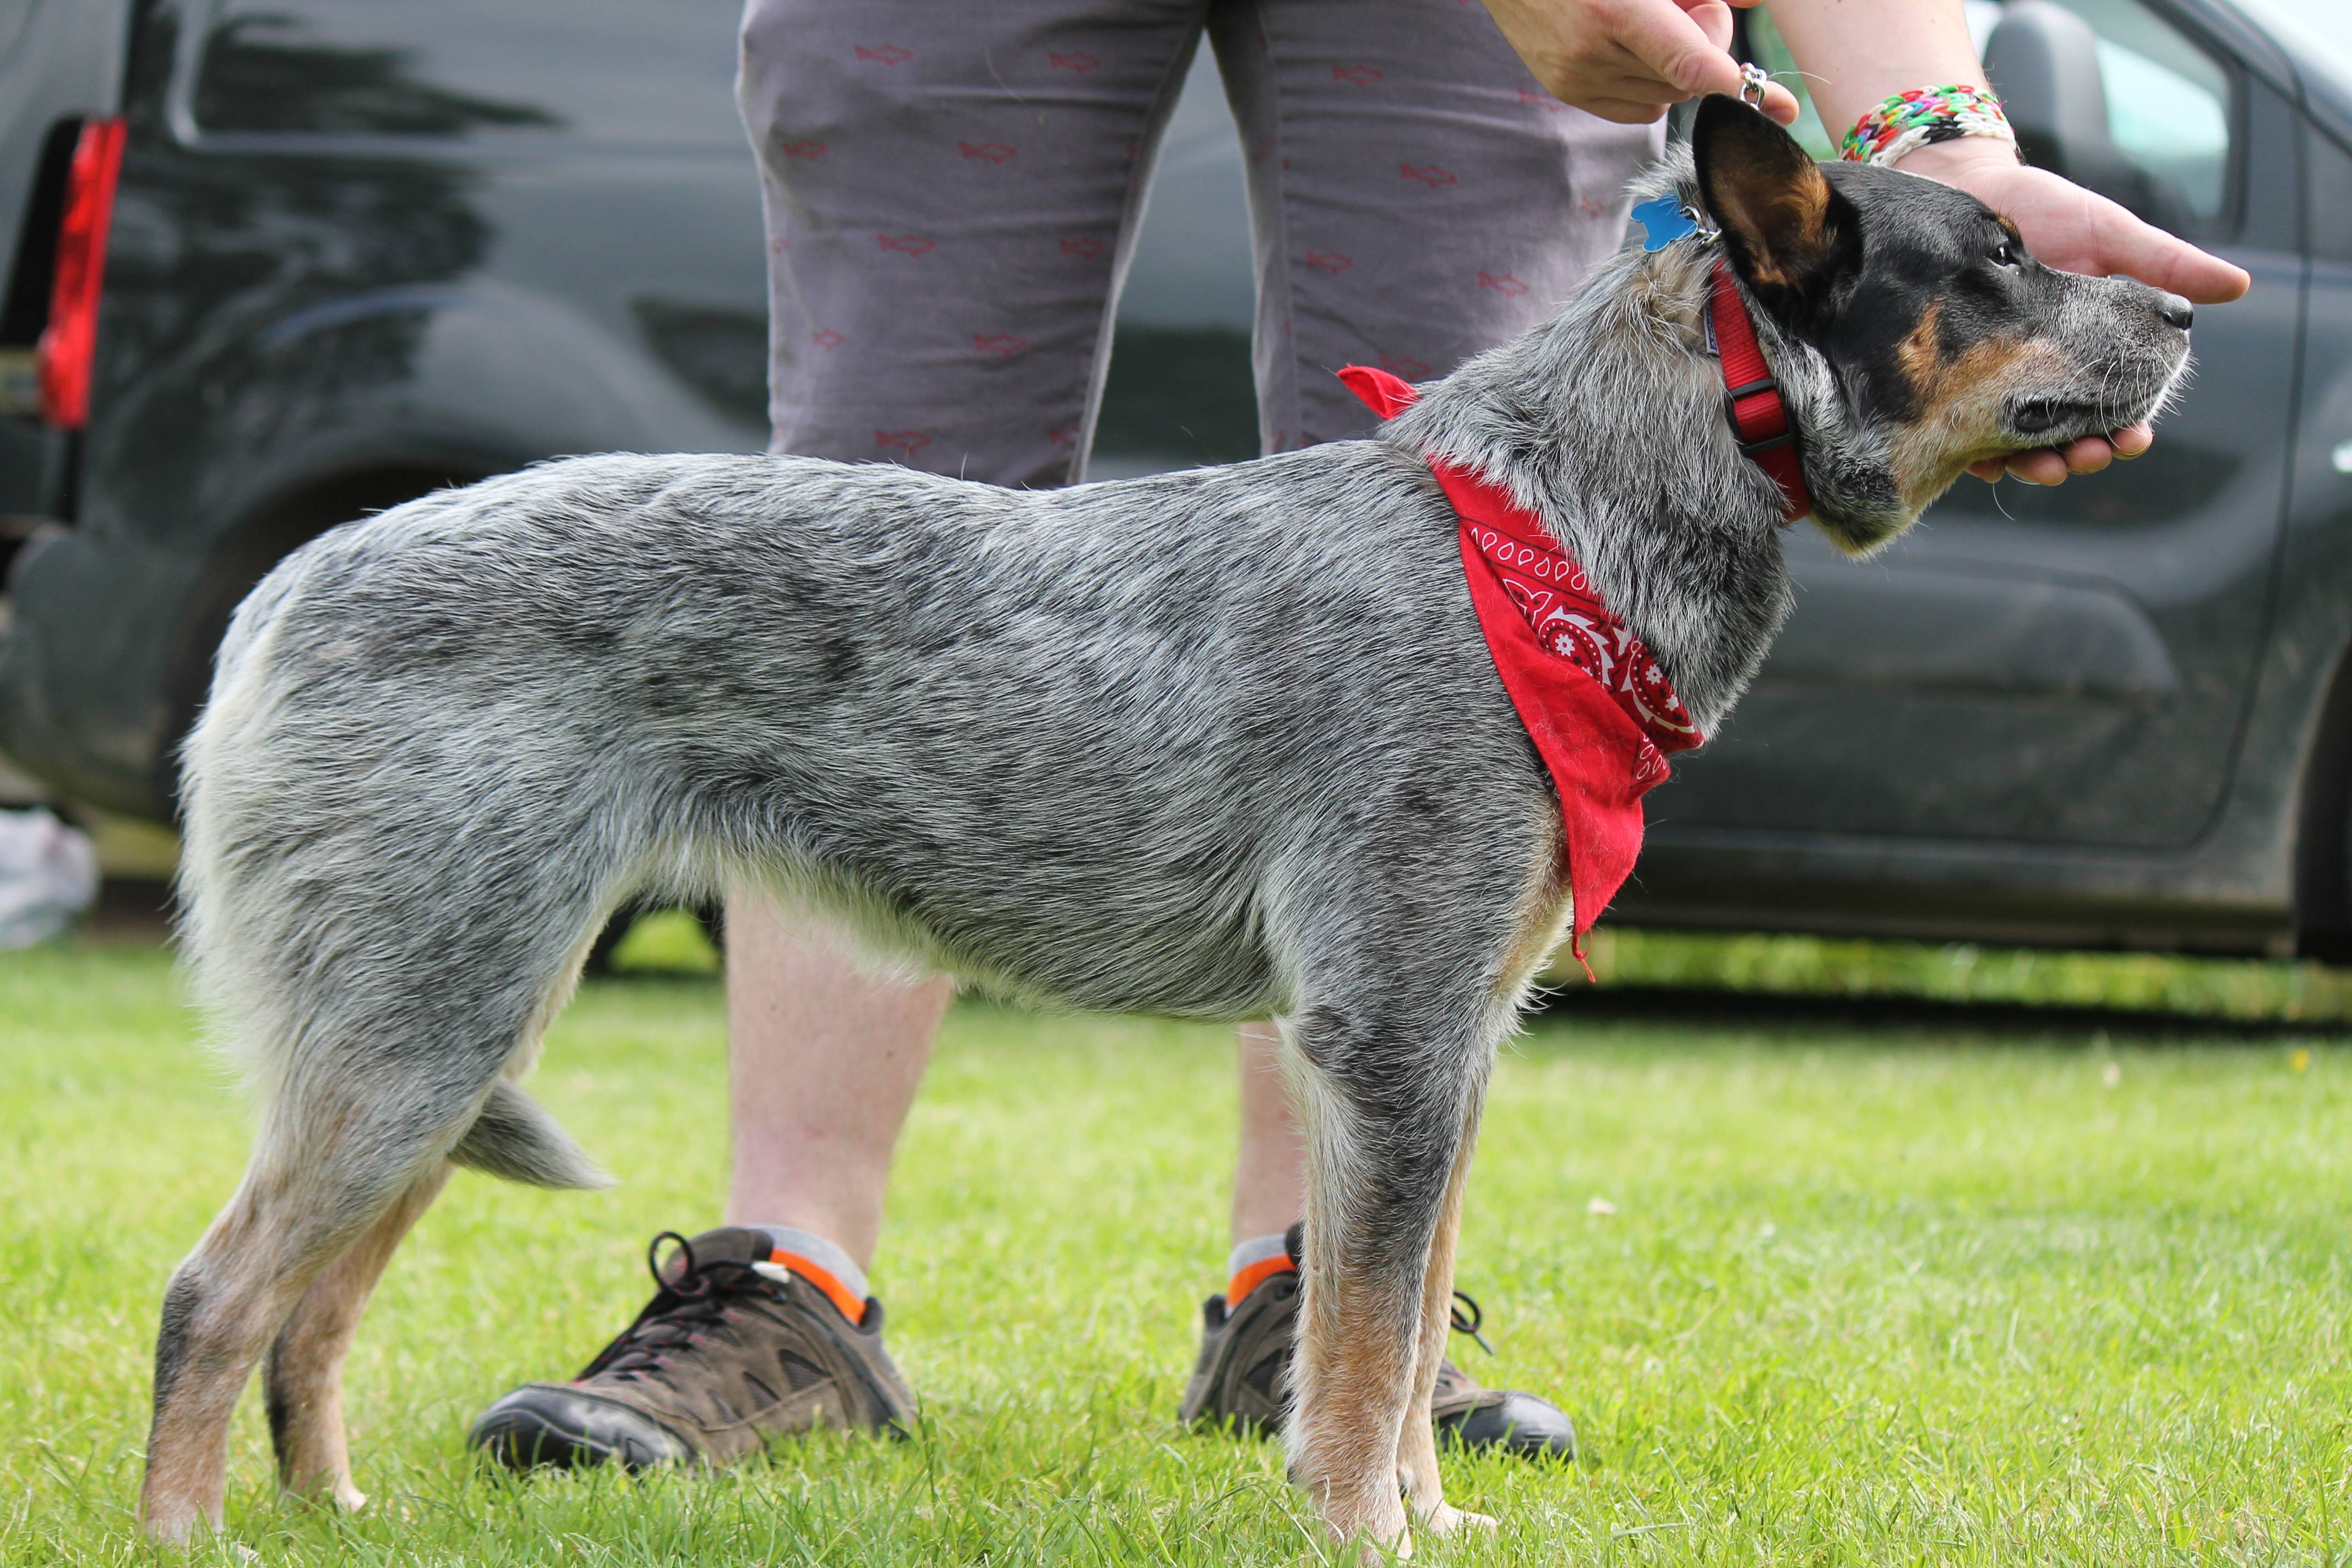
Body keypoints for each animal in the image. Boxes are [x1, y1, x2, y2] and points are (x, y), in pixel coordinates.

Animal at [147, 101, 2192, 1561]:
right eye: (1998, 256)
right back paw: (191, 1538)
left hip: (439, 1043)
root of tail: (285, 585)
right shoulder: (1385, 1035)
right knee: (213, 1294)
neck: (1541, 528)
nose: (2184, 307)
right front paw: (1365, 1535)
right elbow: (1359, 1357)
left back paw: (334, 1519)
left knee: (309, 1322)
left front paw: (1431, 1519)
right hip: (422, 1038)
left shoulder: (1452, 1047)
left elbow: (1404, 1327)